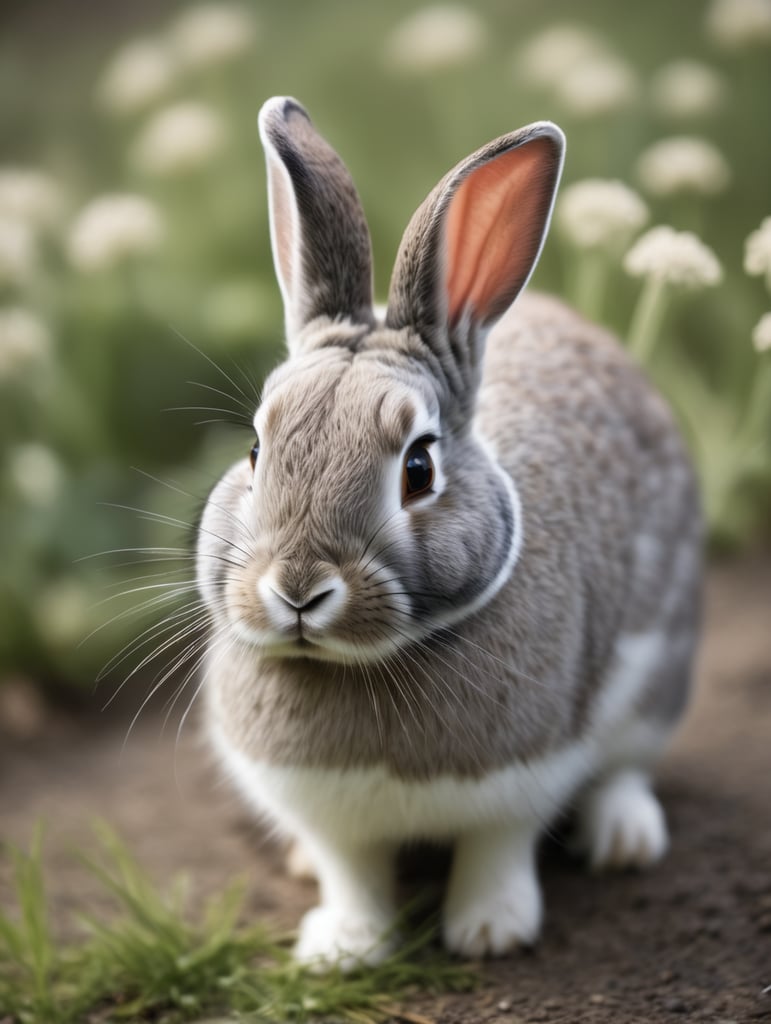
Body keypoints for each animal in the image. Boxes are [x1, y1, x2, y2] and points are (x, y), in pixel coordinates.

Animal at [196, 96, 702, 969]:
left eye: (418, 468)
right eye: (255, 451)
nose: (296, 588)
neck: (354, 667)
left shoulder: (524, 779)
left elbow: (496, 849)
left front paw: (490, 932)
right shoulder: (326, 815)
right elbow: (350, 872)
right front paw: (342, 950)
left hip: (657, 677)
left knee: (626, 769)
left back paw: (624, 839)